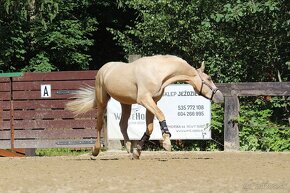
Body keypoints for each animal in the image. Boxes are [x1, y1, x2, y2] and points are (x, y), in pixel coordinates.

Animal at [66, 54, 224, 158]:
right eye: (209, 78)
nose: (221, 97)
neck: (158, 72)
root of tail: (104, 69)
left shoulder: (152, 101)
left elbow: (150, 127)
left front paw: (137, 151)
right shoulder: (145, 99)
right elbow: (161, 115)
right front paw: (167, 142)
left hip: (125, 103)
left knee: (122, 124)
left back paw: (129, 147)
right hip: (102, 101)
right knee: (99, 124)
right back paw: (95, 151)